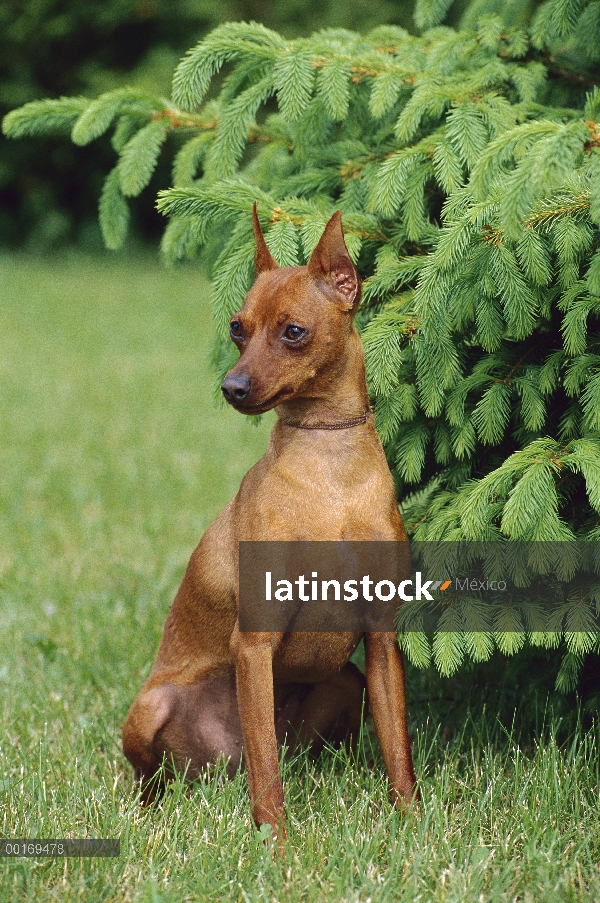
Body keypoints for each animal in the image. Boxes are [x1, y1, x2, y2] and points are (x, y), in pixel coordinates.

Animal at [122, 205, 418, 832]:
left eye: (293, 332)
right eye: (238, 328)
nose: (231, 387)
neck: (329, 470)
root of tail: (218, 765)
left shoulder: (381, 640)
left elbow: (398, 751)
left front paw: (412, 822)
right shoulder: (253, 646)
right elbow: (268, 777)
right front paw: (276, 842)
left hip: (348, 680)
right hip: (153, 708)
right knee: (177, 775)